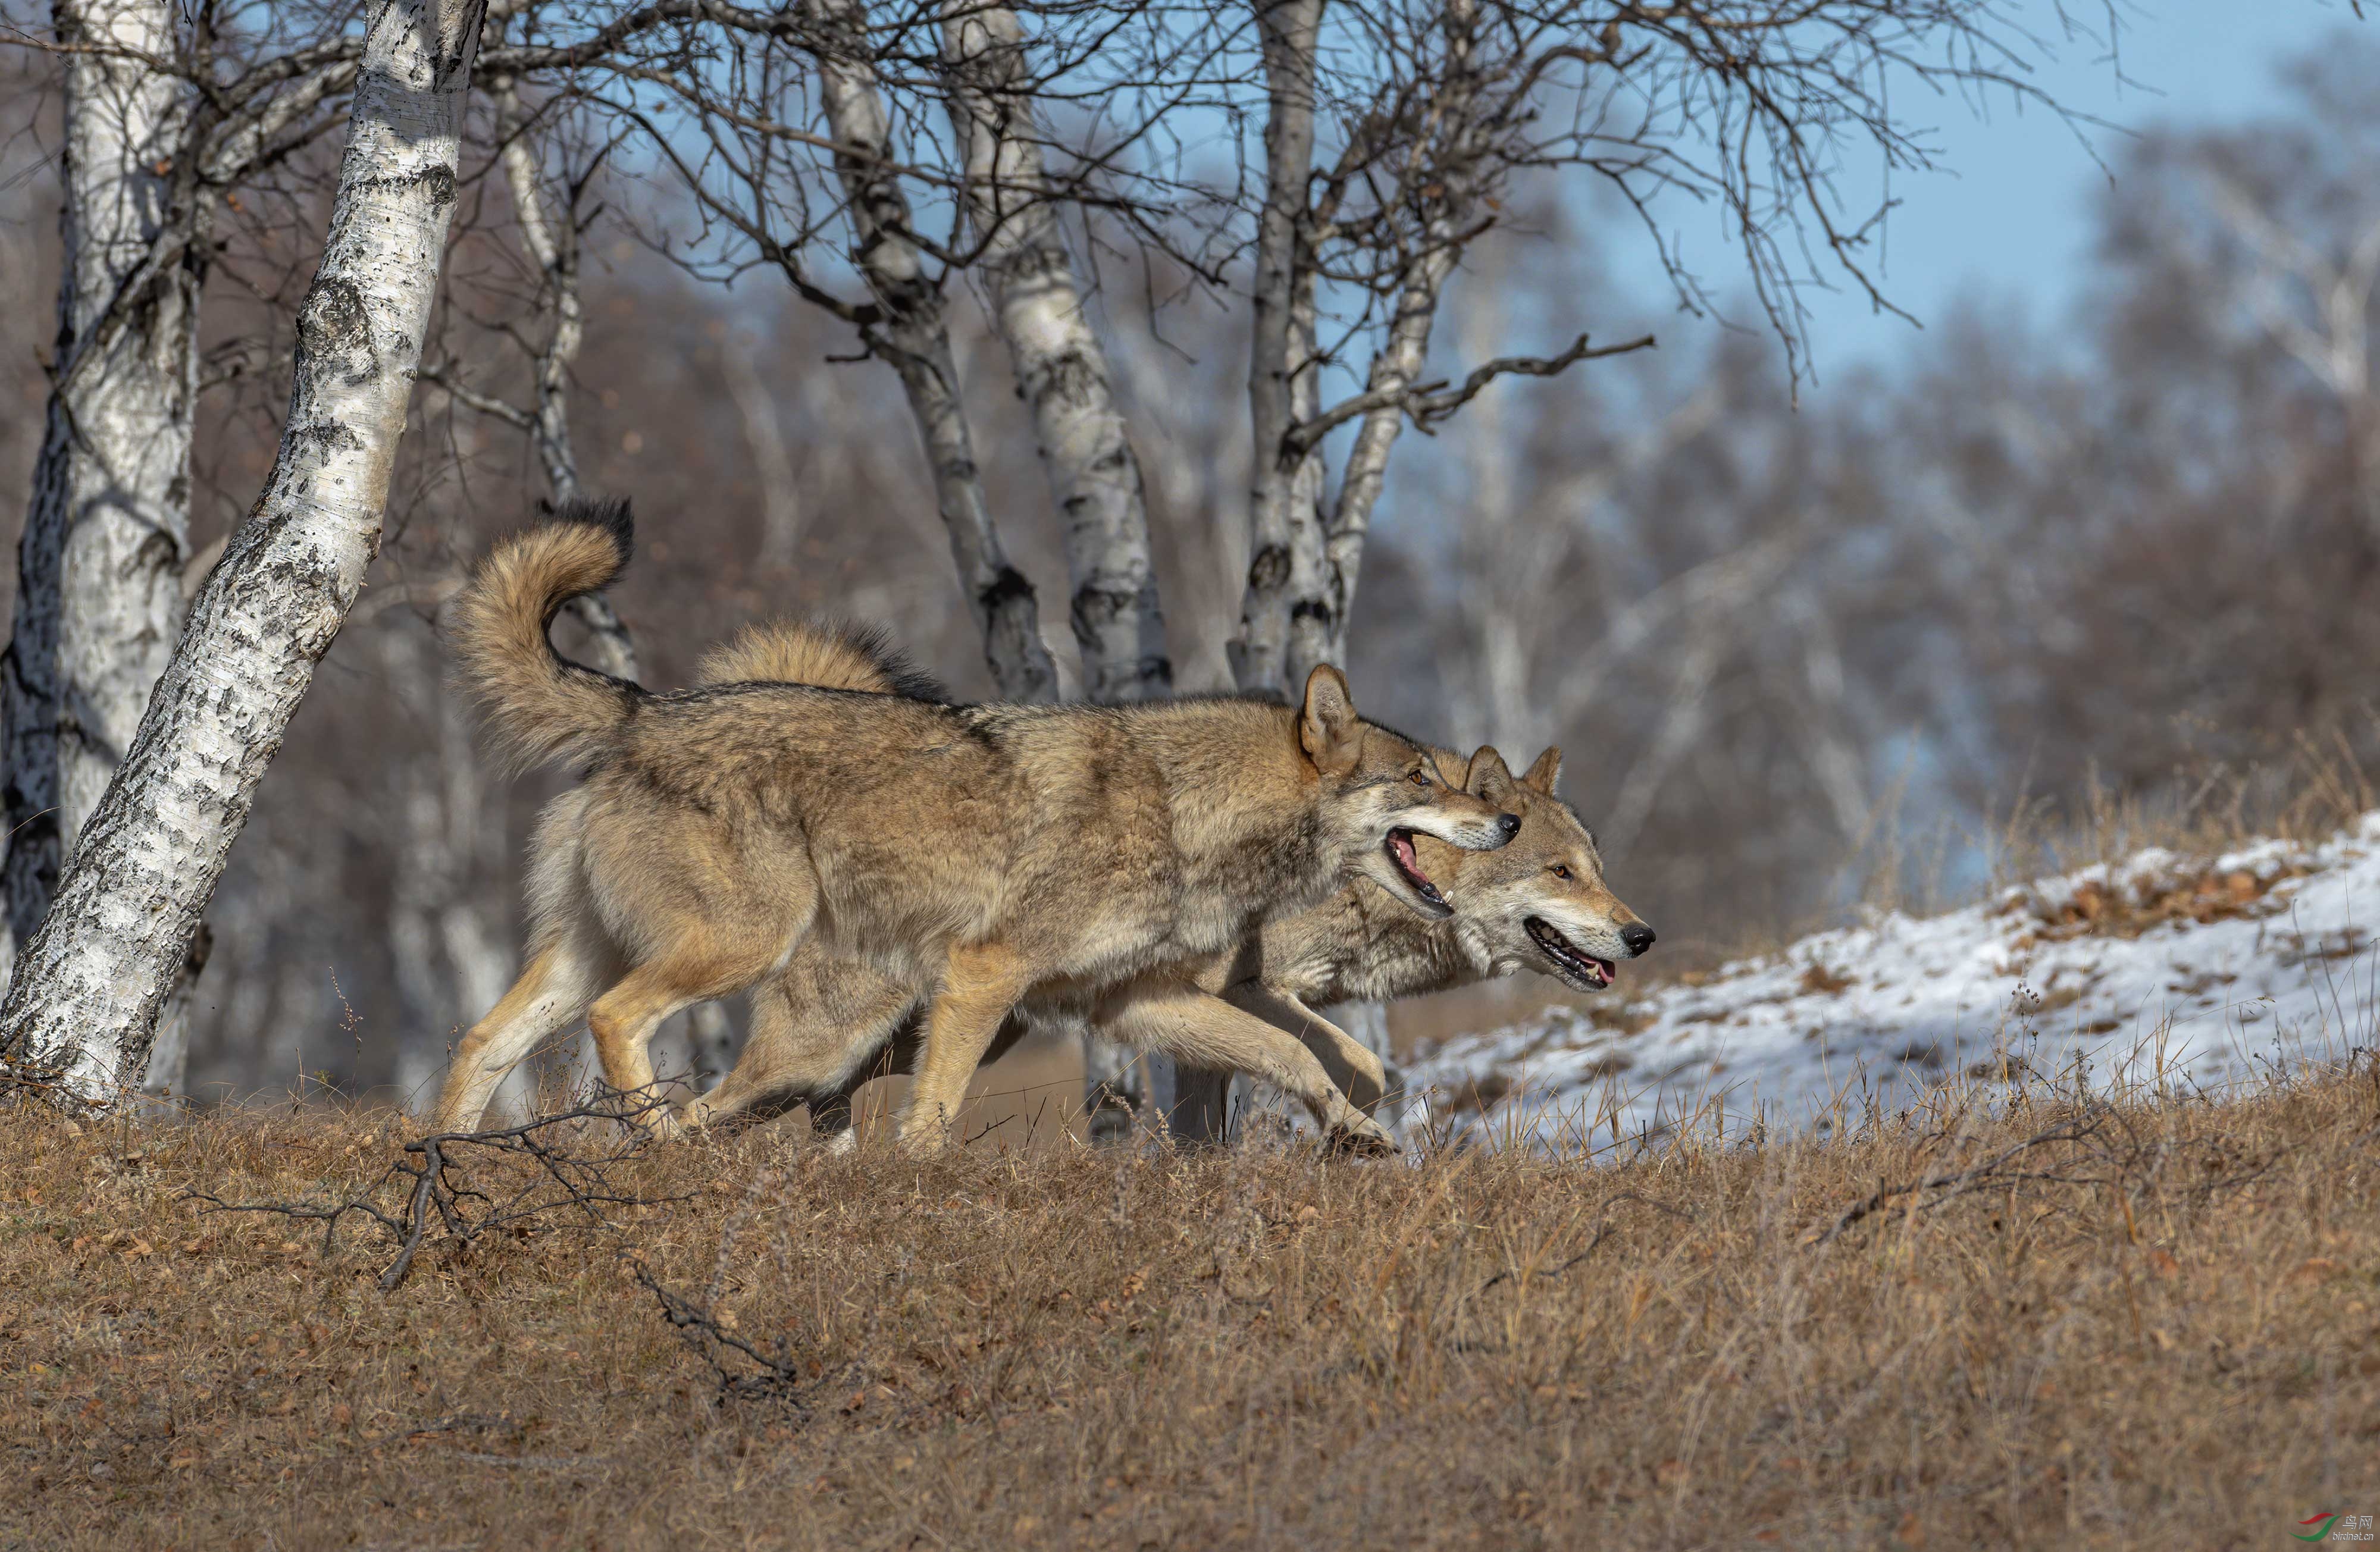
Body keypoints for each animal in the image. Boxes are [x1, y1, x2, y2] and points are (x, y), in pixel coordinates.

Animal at [424, 502, 1523, 1147]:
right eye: (1422, 776)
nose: (1509, 818)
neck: (1184, 809)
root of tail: (644, 706)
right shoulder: (985, 976)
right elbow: (933, 1120)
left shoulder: (1135, 1003)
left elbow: (1295, 1057)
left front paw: (1357, 1131)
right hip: (751, 962)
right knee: (629, 1033)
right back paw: (649, 1142)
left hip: (612, 965)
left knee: (482, 1039)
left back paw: (446, 1166)